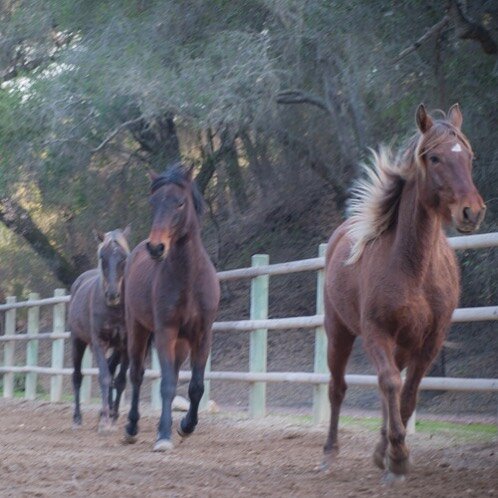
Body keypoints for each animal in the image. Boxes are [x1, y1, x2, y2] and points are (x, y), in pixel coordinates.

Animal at [69, 226, 130, 432]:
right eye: (102, 256)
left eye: (124, 257)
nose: (113, 295)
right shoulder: (99, 343)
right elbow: (104, 377)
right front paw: (104, 421)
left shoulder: (126, 345)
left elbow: (120, 380)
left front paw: (112, 416)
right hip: (77, 341)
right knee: (77, 376)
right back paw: (77, 418)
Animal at [123, 163, 219, 452]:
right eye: (153, 203)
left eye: (179, 203)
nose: (156, 247)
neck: (189, 280)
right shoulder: (165, 331)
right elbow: (165, 385)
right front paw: (164, 436)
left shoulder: (202, 335)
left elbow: (196, 386)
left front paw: (186, 426)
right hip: (138, 331)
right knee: (136, 375)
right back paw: (131, 428)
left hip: (182, 344)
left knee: (176, 376)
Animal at [320, 105, 484, 482]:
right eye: (435, 158)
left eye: (468, 156)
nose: (472, 211)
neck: (414, 267)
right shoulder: (376, 333)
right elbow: (391, 385)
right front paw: (396, 456)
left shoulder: (429, 342)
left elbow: (407, 395)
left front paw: (393, 456)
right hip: (339, 332)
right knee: (339, 389)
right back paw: (330, 454)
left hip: (403, 345)